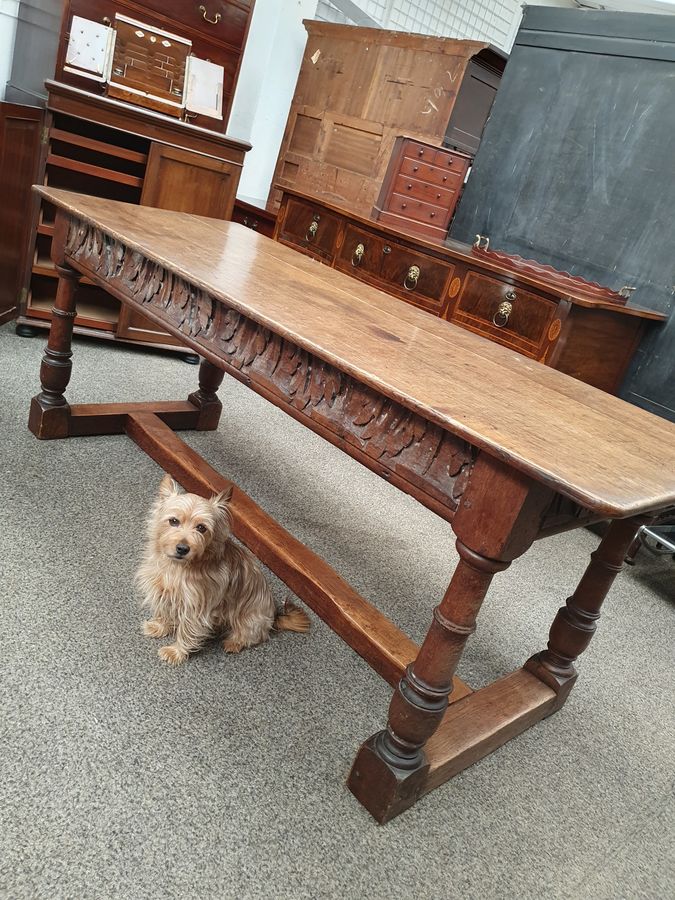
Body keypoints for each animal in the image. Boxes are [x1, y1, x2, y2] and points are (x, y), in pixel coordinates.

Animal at [137, 474, 312, 664]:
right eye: (173, 521)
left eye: (201, 528)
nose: (183, 548)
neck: (178, 567)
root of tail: (274, 617)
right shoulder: (165, 592)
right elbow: (164, 611)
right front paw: (160, 626)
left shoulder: (196, 608)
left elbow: (186, 631)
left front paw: (176, 652)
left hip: (250, 621)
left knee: (254, 636)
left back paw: (234, 643)